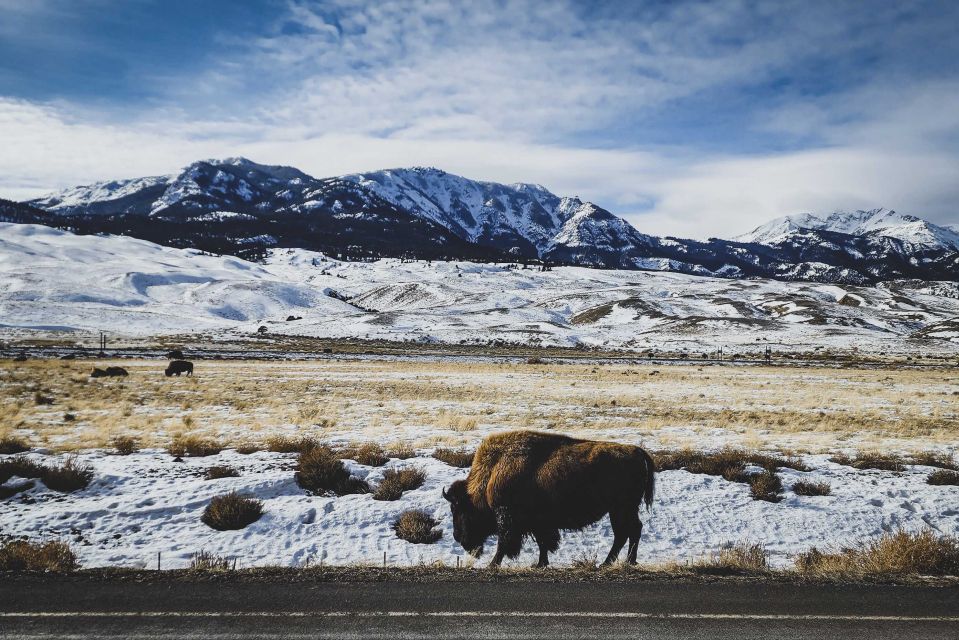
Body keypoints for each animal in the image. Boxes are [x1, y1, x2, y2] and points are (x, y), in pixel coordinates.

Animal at [440, 432, 652, 568]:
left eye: (458, 508)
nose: (458, 537)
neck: (492, 473)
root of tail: (636, 451)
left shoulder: (508, 519)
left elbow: (504, 543)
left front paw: (493, 565)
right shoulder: (537, 523)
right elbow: (542, 543)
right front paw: (540, 564)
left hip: (622, 509)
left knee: (629, 531)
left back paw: (620, 562)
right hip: (620, 510)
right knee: (626, 533)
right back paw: (614, 562)